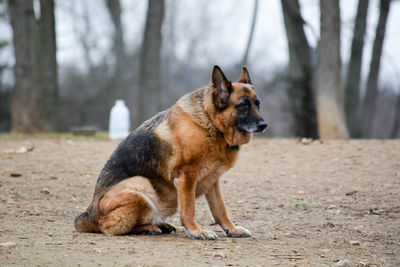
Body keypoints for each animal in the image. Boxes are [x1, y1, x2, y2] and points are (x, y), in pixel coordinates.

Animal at [75, 65, 268, 241]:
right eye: (243, 105)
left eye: (257, 104)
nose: (264, 125)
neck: (210, 122)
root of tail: (90, 215)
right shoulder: (187, 177)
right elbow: (189, 209)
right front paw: (196, 231)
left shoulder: (213, 180)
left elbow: (220, 208)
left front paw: (231, 229)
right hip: (141, 184)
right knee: (113, 227)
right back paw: (148, 228)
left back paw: (161, 224)